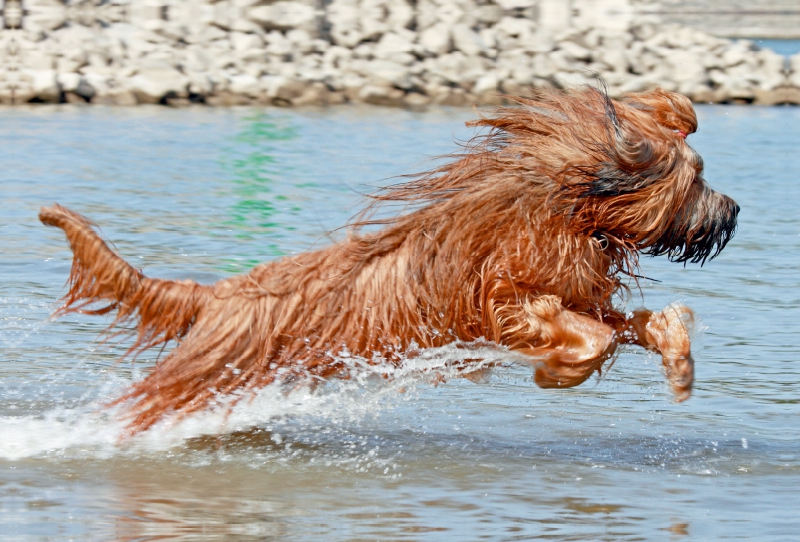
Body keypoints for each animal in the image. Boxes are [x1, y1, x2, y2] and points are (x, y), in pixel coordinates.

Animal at [37, 87, 736, 434]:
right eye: (696, 178)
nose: (732, 212)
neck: (566, 208)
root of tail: (216, 296)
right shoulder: (502, 296)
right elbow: (580, 332)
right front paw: (557, 373)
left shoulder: (583, 292)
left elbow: (634, 325)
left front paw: (679, 367)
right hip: (203, 375)